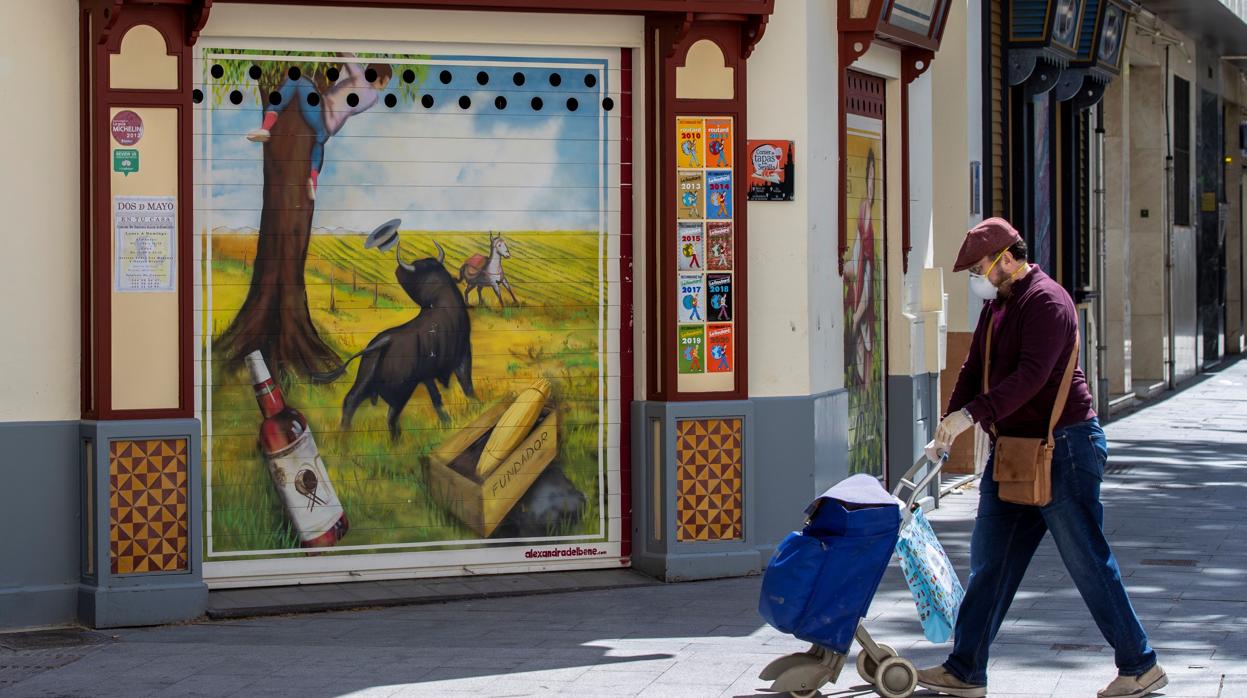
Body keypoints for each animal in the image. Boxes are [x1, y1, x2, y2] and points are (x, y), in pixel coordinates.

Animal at [311, 241, 476, 436]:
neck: (439, 298)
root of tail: (385, 341)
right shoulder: (462, 356)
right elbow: (464, 385)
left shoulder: (430, 373)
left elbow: (439, 397)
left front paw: (449, 419)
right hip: (402, 390)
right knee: (391, 415)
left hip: (366, 379)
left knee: (351, 401)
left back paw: (345, 436)